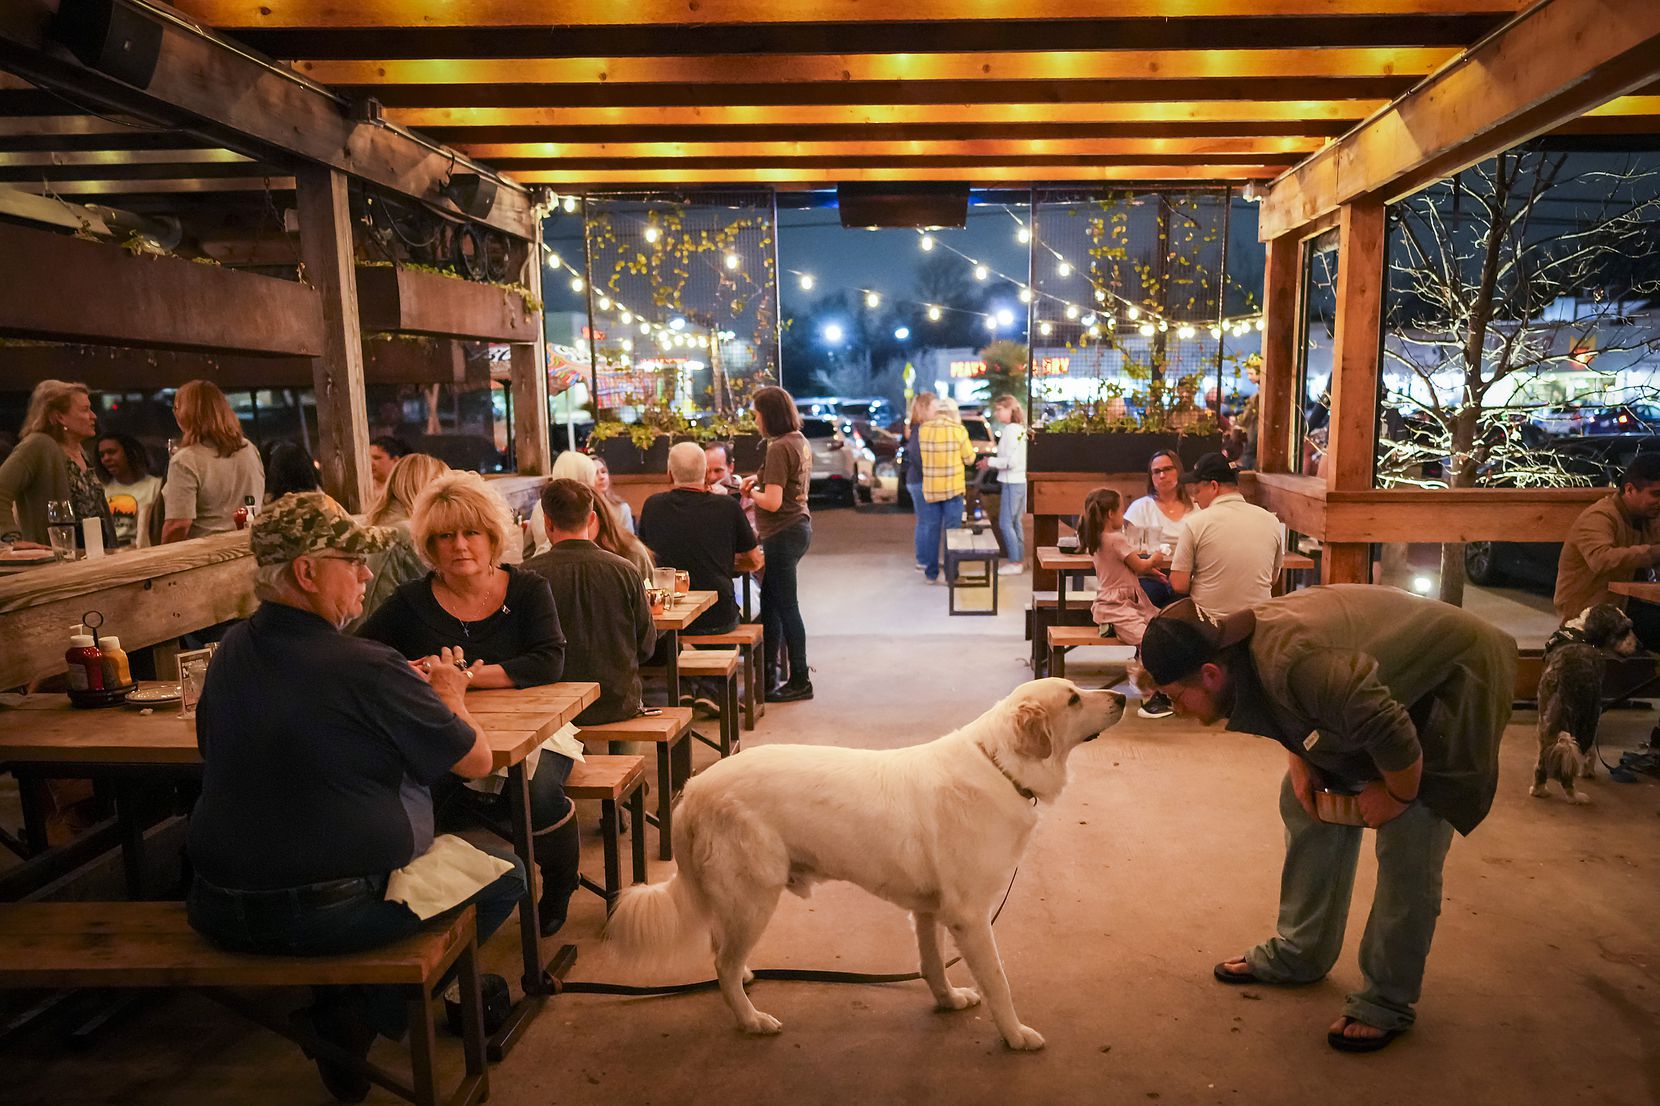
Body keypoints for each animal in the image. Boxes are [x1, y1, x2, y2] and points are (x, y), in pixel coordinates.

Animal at [604, 677, 1122, 1049]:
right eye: (1073, 698)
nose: (1119, 695)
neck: (1000, 766)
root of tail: (693, 789)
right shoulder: (970, 917)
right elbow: (998, 981)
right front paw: (1015, 1035)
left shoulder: (929, 911)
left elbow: (932, 964)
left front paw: (949, 1000)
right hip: (755, 896)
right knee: (723, 963)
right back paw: (752, 1019)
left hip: (740, 899)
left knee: (721, 949)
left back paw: (748, 982)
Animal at [1533, 604, 1640, 800]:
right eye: (1625, 629)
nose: (1639, 646)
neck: (1582, 633)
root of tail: (1567, 679)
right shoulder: (1597, 711)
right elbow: (1591, 752)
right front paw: (1589, 771)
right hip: (1585, 720)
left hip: (1547, 721)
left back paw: (1540, 790)